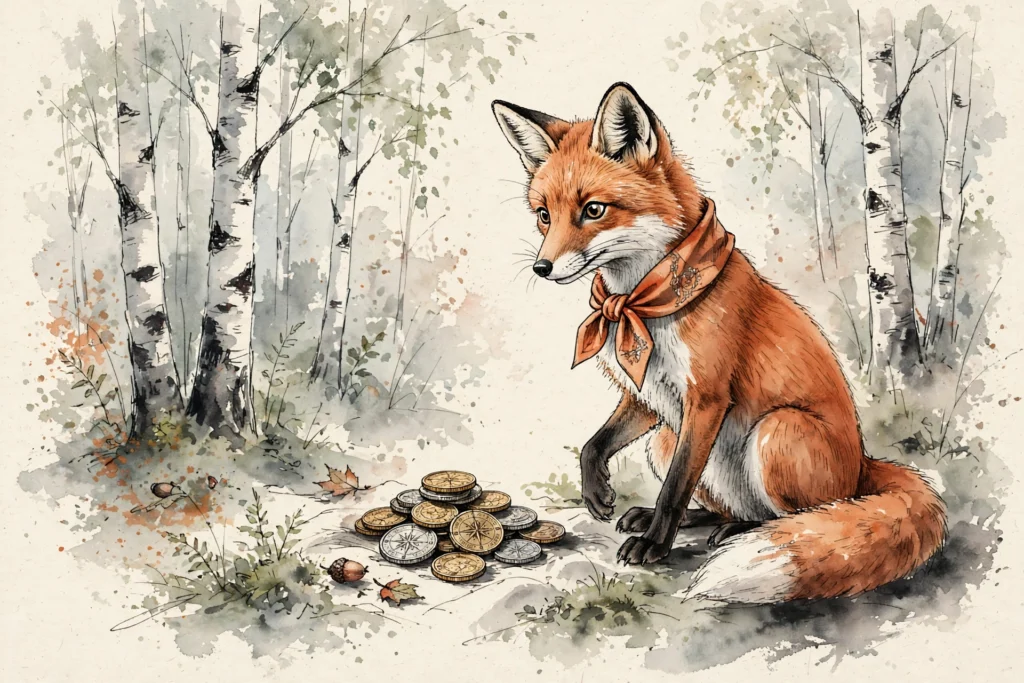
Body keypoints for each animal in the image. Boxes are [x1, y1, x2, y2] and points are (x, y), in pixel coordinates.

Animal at [491, 82, 946, 603]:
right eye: (544, 216)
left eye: (593, 210)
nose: (541, 268)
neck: (643, 303)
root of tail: (863, 466)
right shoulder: (648, 393)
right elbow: (596, 445)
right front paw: (599, 492)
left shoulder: (706, 398)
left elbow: (674, 489)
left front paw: (654, 545)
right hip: (665, 439)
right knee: (727, 506)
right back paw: (698, 520)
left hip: (777, 433)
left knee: (799, 519)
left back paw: (735, 533)